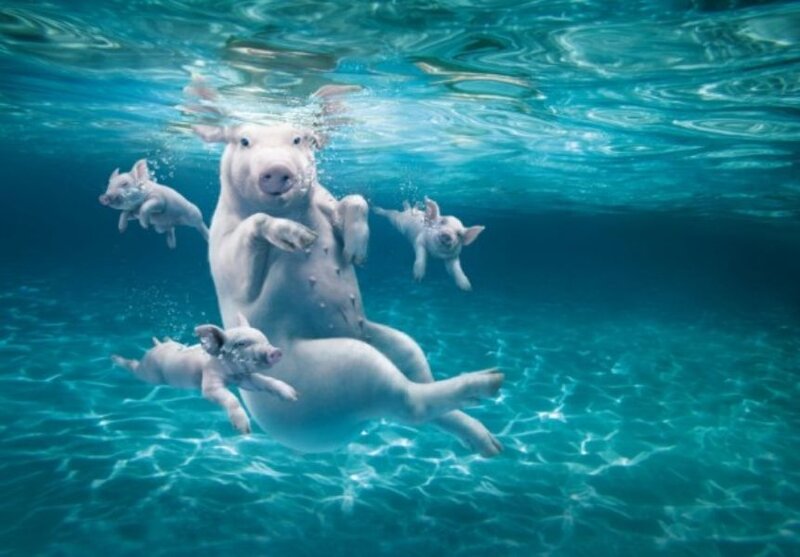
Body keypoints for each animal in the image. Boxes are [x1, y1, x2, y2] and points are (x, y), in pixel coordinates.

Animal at [112, 313, 294, 434]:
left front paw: (293, 396)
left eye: (266, 340)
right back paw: (114, 358)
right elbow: (231, 398)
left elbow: (264, 381)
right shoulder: (209, 382)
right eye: (241, 344)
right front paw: (244, 431)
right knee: (134, 367)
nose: (275, 351)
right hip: (148, 372)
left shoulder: (244, 378)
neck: (231, 374)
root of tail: (155, 347)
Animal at [194, 120, 503, 455]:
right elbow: (243, 251)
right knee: (410, 401)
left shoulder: (327, 201)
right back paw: (492, 381)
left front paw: (356, 254)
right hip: (339, 367)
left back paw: (490, 442)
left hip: (389, 342)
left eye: (298, 139)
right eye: (244, 141)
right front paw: (301, 238)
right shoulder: (221, 246)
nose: (276, 168)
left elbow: (355, 199)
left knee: (418, 376)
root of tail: (351, 427)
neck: (292, 210)